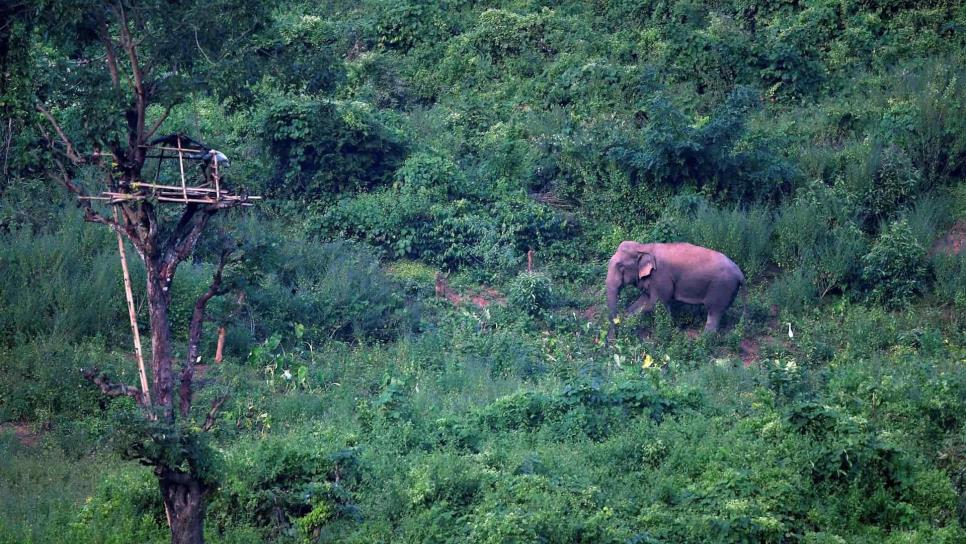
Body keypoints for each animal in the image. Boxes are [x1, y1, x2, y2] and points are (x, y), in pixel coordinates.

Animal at [604, 243, 748, 344]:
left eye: (620, 267)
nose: (611, 342)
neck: (644, 247)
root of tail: (741, 274)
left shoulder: (660, 277)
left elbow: (656, 304)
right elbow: (645, 301)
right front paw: (627, 320)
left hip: (721, 287)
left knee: (714, 312)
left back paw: (701, 341)